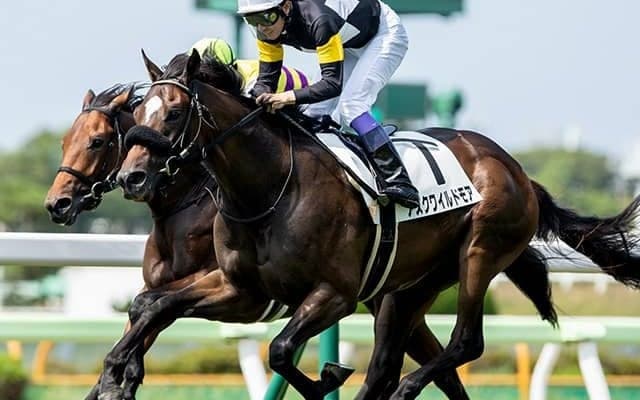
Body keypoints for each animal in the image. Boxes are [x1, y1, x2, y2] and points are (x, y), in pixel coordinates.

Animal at [103, 49, 639, 400]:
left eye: (174, 112)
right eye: (138, 110)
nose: (131, 177)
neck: (268, 188)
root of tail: (518, 171)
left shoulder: (334, 293)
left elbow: (280, 350)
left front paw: (328, 378)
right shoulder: (241, 288)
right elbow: (154, 305)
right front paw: (115, 372)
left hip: (480, 253)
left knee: (464, 342)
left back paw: (406, 389)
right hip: (408, 287)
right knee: (388, 363)